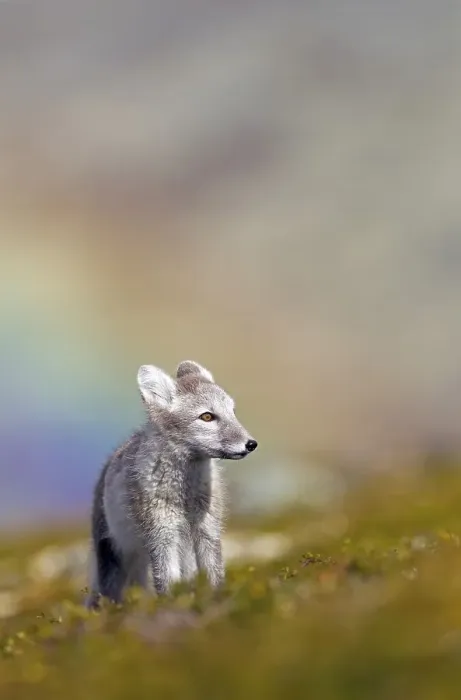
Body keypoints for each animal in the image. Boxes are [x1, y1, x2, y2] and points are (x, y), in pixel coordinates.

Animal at [86, 360, 257, 608]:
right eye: (207, 417)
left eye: (232, 411)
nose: (251, 444)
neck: (184, 495)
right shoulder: (161, 535)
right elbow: (166, 581)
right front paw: (171, 606)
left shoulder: (208, 531)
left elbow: (214, 574)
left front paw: (217, 600)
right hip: (114, 556)